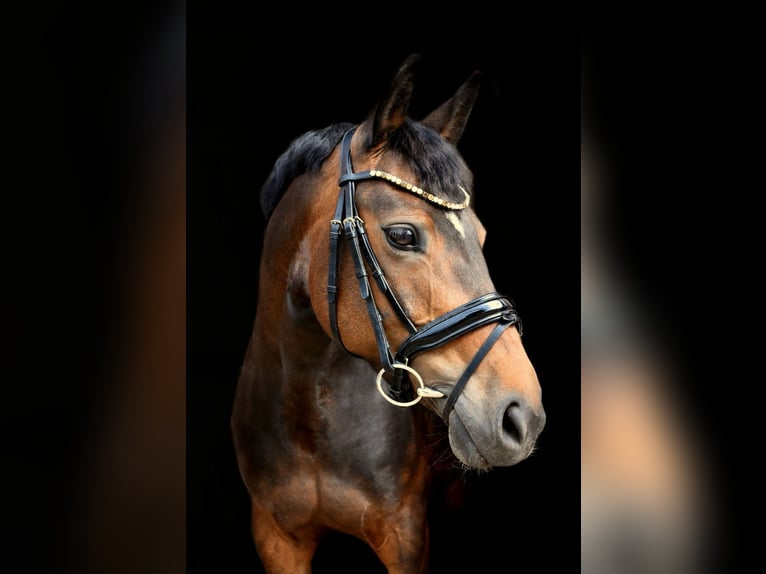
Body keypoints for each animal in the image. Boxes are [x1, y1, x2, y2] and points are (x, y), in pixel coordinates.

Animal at [232, 55, 544, 574]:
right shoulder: (275, 537)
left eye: (481, 236)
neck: (308, 413)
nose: (522, 414)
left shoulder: (406, 537)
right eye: (402, 235)